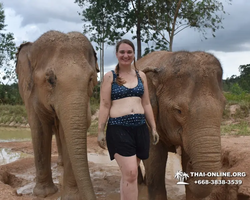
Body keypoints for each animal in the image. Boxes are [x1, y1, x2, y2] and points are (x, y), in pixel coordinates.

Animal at [14, 30, 99, 199]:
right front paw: (44, 193)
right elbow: (40, 129)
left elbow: (68, 131)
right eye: (50, 79)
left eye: (90, 79)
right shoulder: (30, 95)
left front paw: (71, 196)